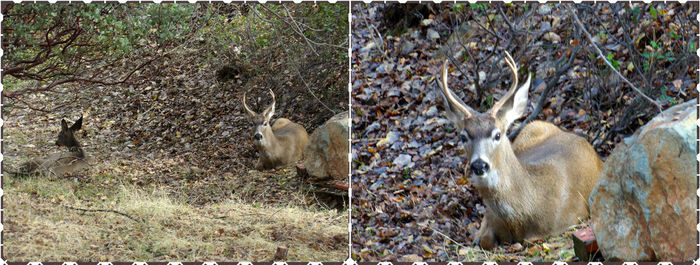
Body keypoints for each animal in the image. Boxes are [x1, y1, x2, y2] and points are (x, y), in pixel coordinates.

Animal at [434, 52, 604, 250]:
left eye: (497, 134)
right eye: (463, 137)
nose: (479, 165)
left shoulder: (572, 216)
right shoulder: (487, 221)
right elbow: (484, 240)